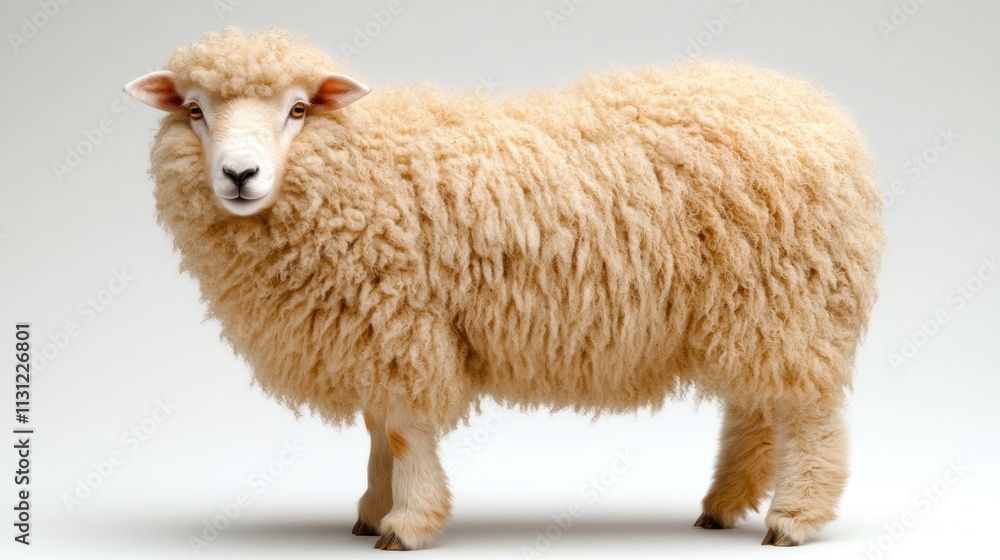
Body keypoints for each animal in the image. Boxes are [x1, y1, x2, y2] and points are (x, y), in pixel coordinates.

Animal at [125, 27, 884, 551]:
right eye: (193, 109)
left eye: (300, 110)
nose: (240, 175)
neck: (360, 168)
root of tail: (812, 107)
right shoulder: (373, 331)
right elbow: (377, 428)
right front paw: (372, 509)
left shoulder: (403, 323)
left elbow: (401, 432)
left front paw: (406, 521)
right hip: (746, 307)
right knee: (755, 409)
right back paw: (723, 504)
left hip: (792, 300)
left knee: (806, 417)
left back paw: (794, 517)